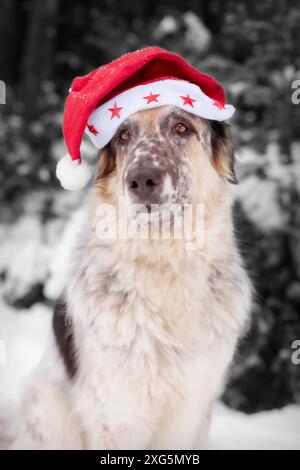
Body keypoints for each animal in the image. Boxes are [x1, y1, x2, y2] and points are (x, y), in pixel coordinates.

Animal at [11, 105, 251, 448]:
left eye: (181, 127)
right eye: (123, 135)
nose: (141, 180)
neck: (165, 265)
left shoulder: (189, 411)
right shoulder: (117, 415)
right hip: (48, 407)